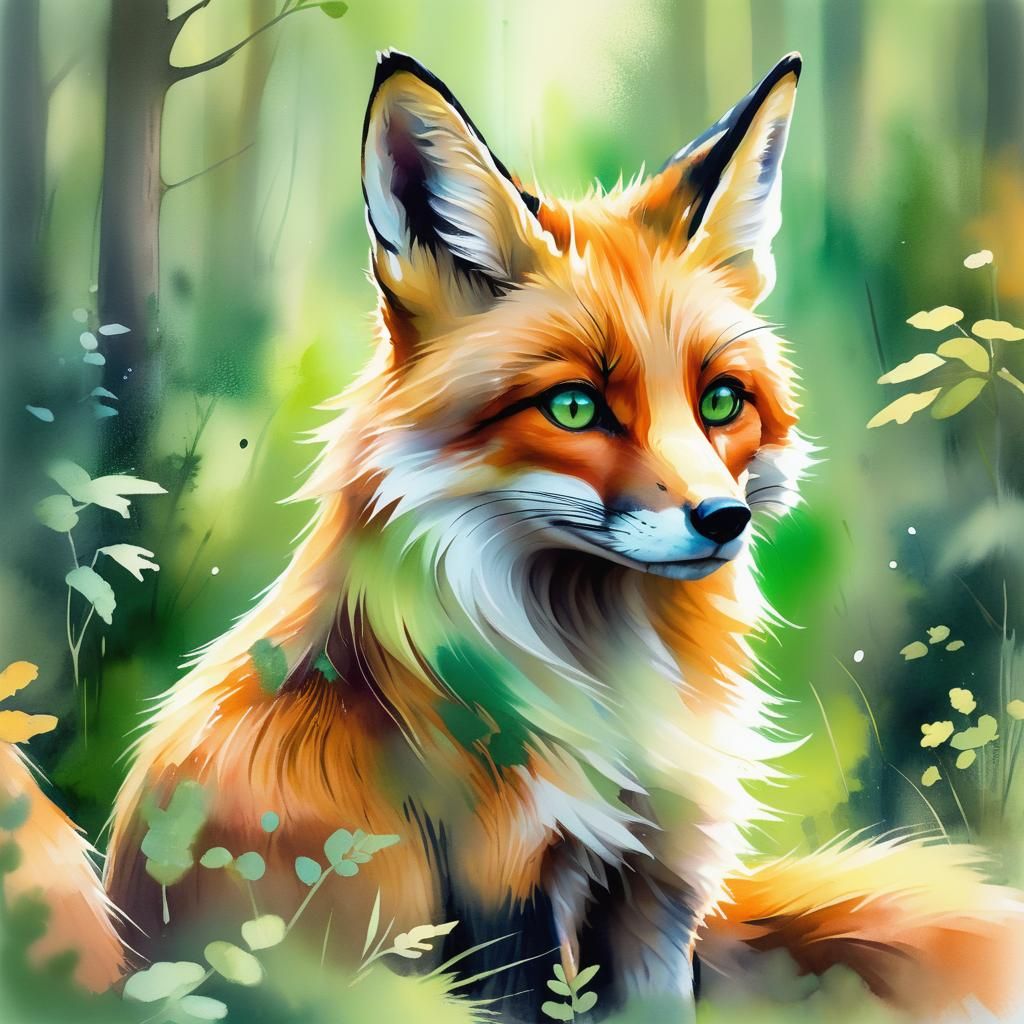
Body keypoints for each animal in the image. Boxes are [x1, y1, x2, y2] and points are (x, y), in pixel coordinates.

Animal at [6, 50, 1024, 1022]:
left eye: (721, 402)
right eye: (574, 407)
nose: (722, 519)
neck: (610, 700)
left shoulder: (661, 892)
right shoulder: (503, 898)